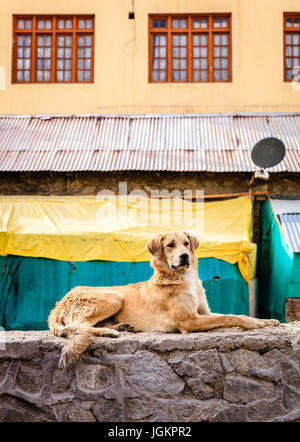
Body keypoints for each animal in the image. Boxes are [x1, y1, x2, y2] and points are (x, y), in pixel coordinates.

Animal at [47, 231, 278, 370]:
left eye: (186, 243)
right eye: (170, 245)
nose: (185, 256)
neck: (184, 277)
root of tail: (57, 305)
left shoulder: (205, 313)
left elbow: (235, 314)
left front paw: (266, 321)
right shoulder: (189, 320)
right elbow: (231, 317)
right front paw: (254, 323)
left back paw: (121, 327)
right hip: (114, 296)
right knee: (77, 326)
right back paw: (109, 331)